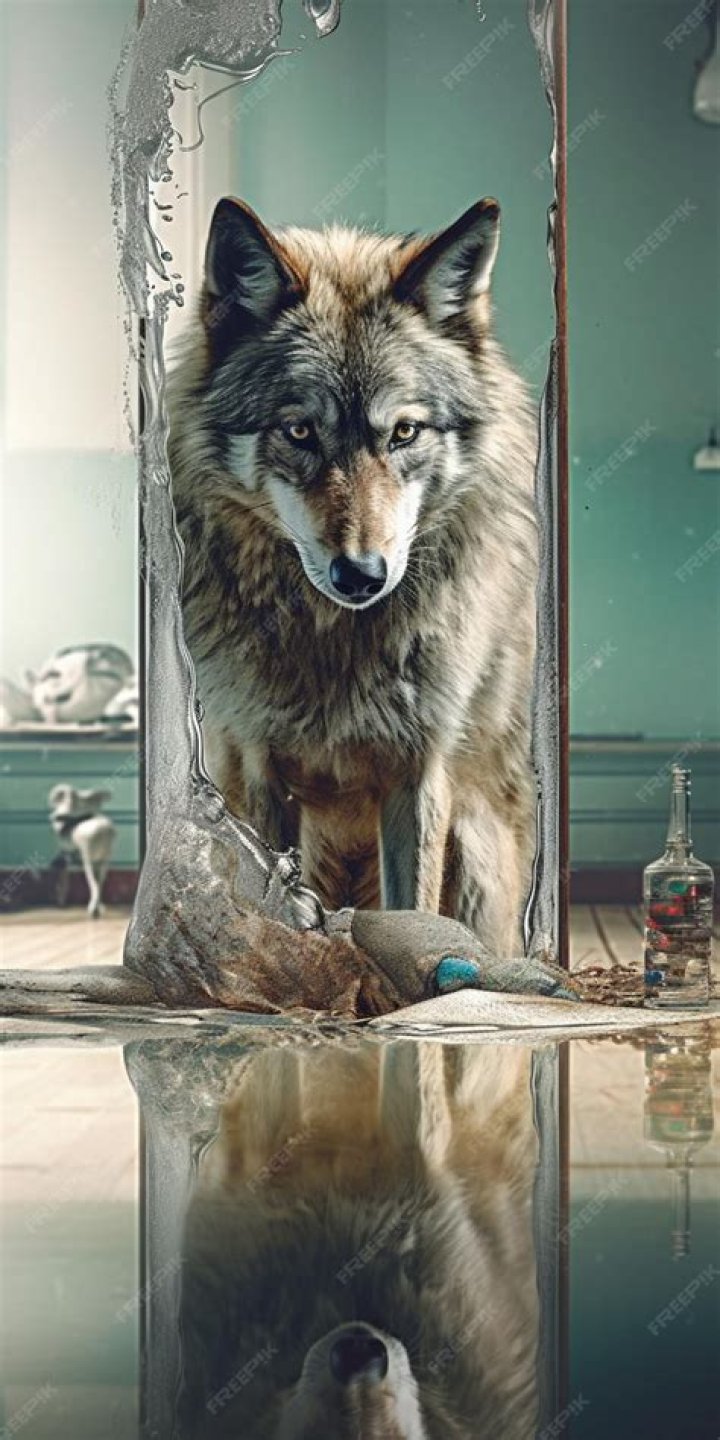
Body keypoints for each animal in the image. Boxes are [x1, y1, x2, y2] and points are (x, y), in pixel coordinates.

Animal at [168, 196, 538, 956]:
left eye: (404, 432)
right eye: (300, 431)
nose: (362, 574)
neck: (335, 642)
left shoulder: (418, 775)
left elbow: (412, 911)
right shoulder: (259, 771)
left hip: (477, 851)